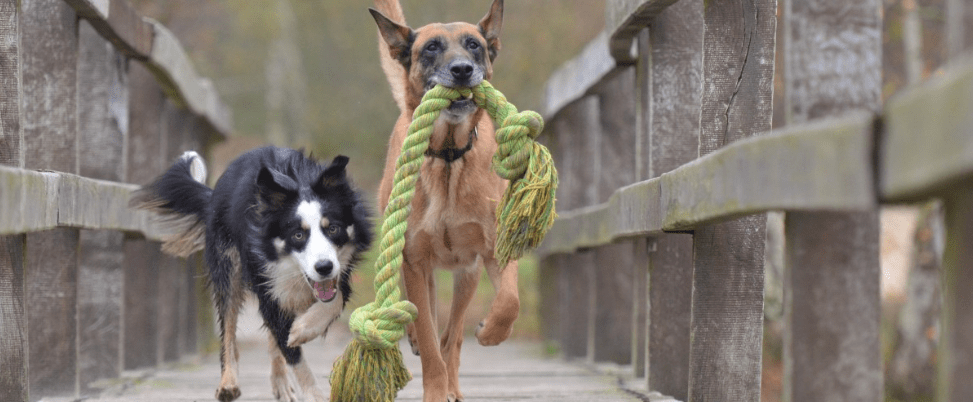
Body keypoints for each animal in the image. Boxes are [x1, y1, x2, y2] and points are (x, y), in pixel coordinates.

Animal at [130, 147, 372, 402]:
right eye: (298, 235)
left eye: (333, 228)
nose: (324, 267)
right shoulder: (265, 279)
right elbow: (291, 352)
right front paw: (313, 393)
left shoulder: (340, 271)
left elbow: (333, 300)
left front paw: (303, 329)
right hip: (228, 267)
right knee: (228, 328)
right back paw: (228, 383)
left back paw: (281, 382)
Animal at [368, 1, 516, 400]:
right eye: (432, 47)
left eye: (474, 45)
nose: (462, 69)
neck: (449, 156)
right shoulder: (415, 261)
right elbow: (431, 342)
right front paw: (434, 390)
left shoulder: (493, 251)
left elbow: (508, 302)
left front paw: (490, 333)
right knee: (431, 325)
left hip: (467, 275)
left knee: (453, 336)